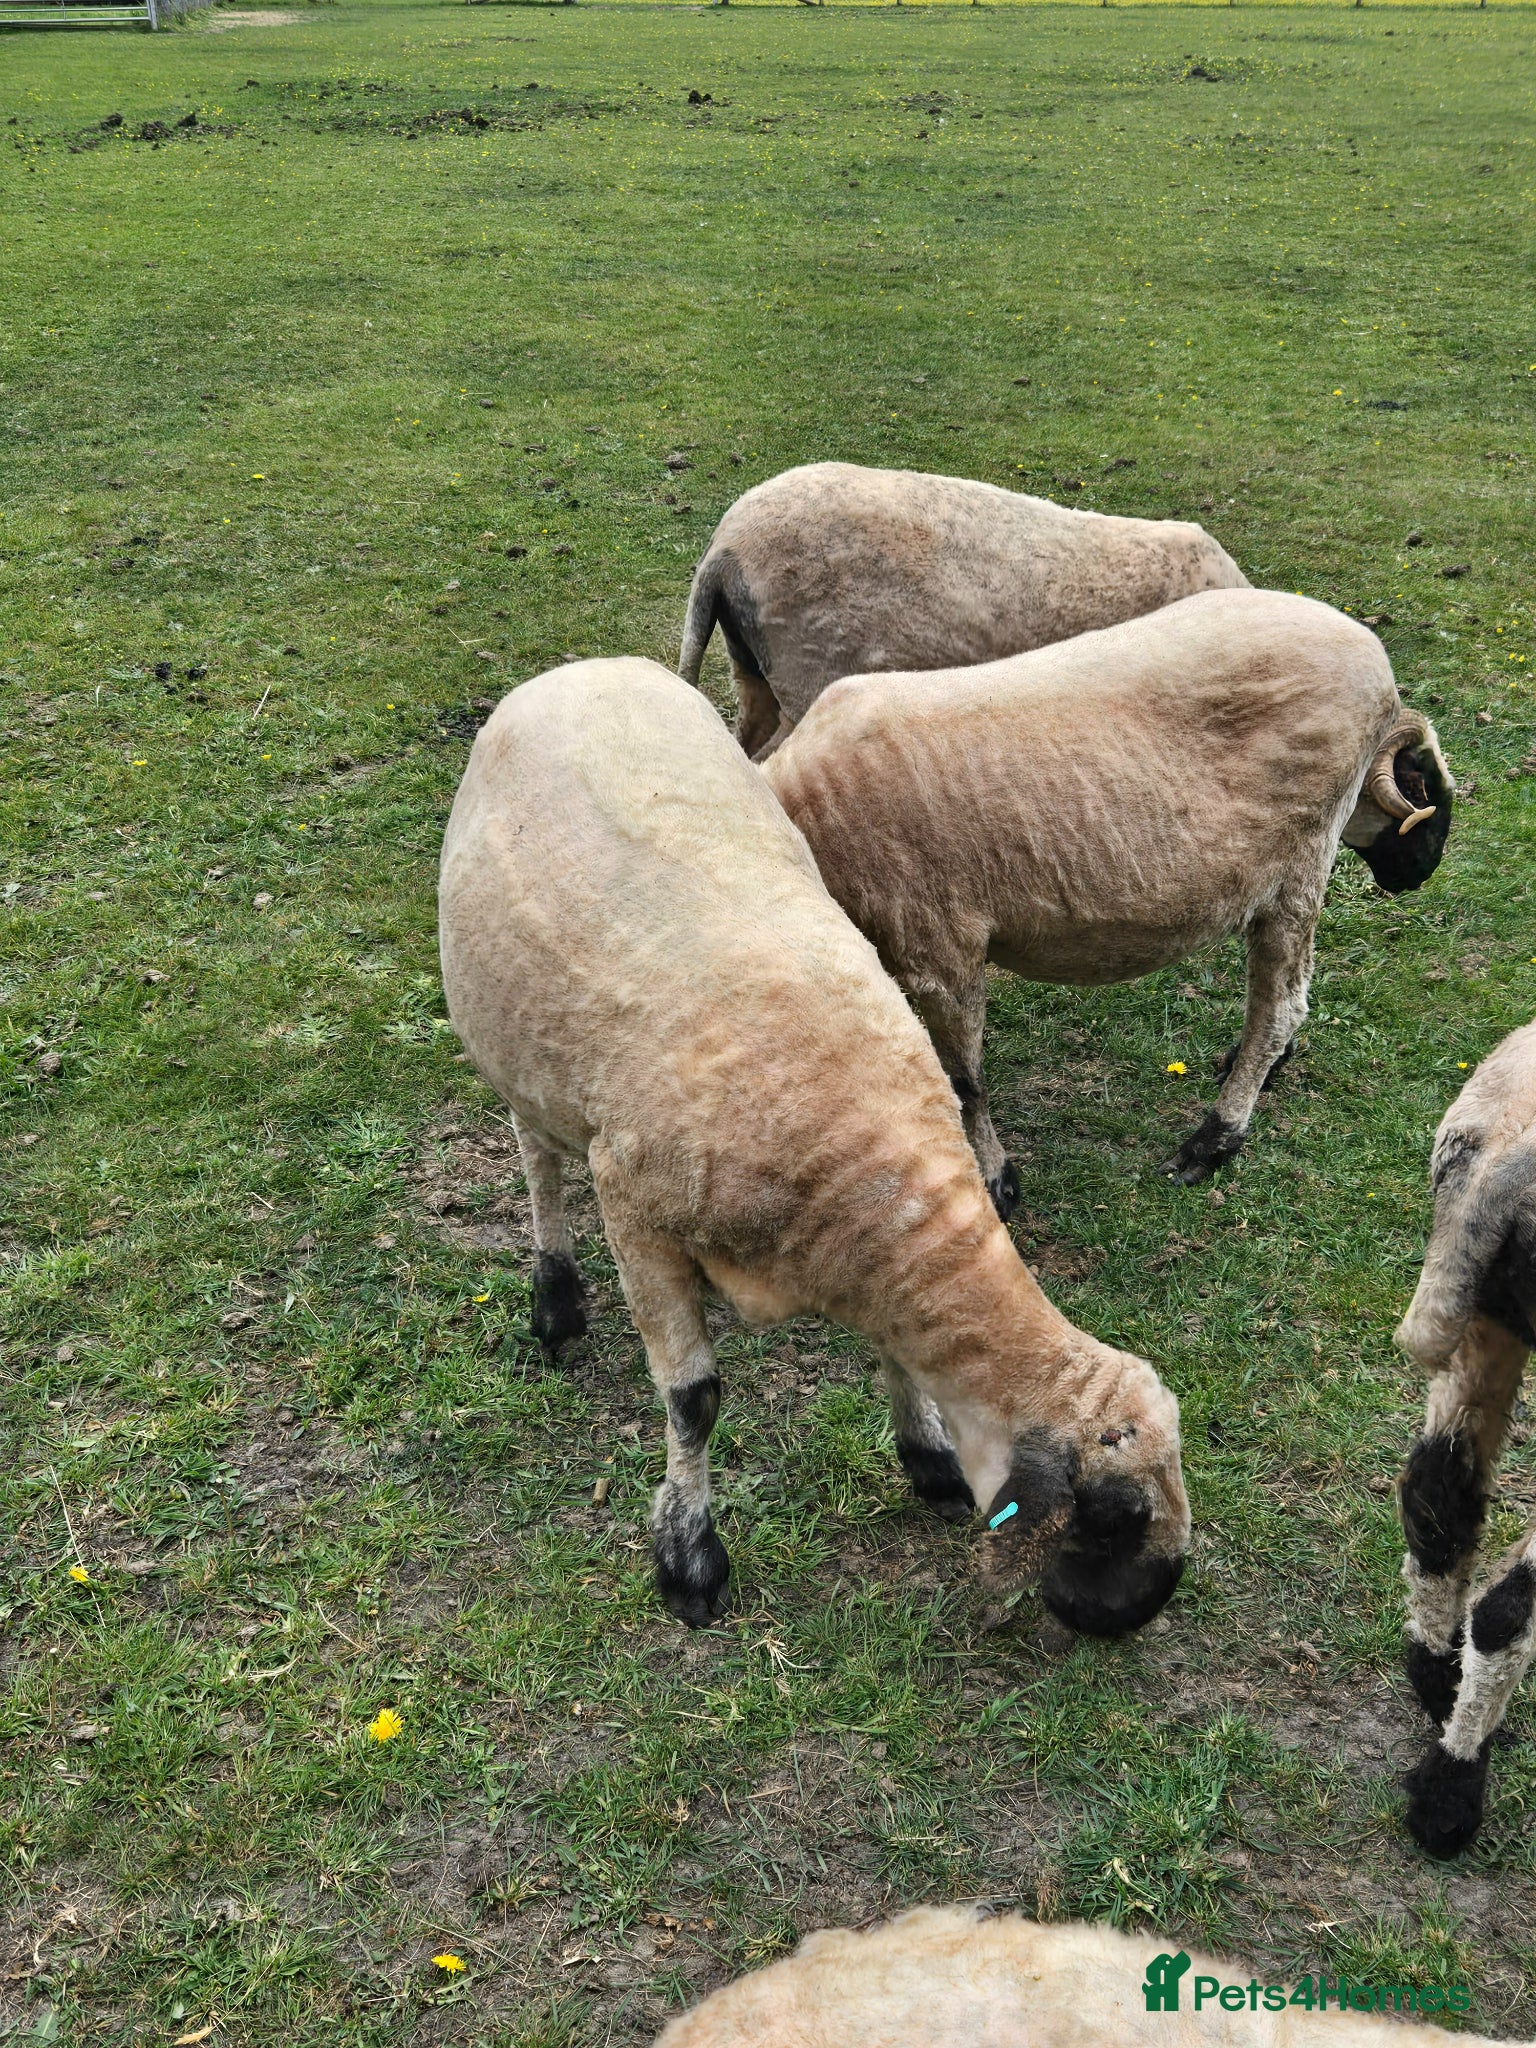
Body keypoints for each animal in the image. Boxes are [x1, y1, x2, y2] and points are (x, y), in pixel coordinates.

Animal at [438, 657, 1189, 1638]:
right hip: (517, 1049)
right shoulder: (636, 1214)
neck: (857, 1159)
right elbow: (694, 1403)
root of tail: (586, 668)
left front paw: (928, 1457)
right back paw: (555, 1301)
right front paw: (689, 1561)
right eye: (1113, 1516)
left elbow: (896, 1354)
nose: (1131, 1617)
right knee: (537, 1158)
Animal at [761, 587, 1453, 1203]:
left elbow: (964, 1082)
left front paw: (995, 1182)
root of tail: (1374, 660)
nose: (1424, 868)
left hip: (1299, 862)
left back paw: (1213, 1140)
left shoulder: (938, 948)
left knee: (1278, 1005)